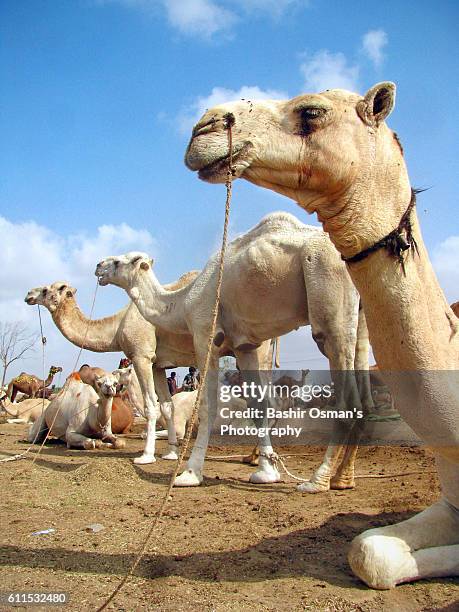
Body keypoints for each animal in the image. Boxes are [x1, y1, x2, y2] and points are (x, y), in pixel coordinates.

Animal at [25, 272, 198, 464]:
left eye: (46, 289)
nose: (29, 294)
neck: (118, 325)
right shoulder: (157, 363)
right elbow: (166, 407)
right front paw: (171, 453)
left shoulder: (141, 355)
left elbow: (151, 406)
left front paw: (146, 456)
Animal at [96, 212, 374, 492]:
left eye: (118, 261)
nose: (98, 265)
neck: (184, 302)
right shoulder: (244, 346)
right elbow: (258, 404)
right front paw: (266, 472)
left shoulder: (204, 336)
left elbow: (207, 406)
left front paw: (190, 474)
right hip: (359, 314)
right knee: (364, 391)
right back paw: (342, 479)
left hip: (327, 288)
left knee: (344, 393)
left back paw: (317, 480)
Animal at [184, 82, 459, 588]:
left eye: (311, 111)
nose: (204, 126)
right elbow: (370, 552)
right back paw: (339, 478)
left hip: (331, 312)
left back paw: (319, 478)